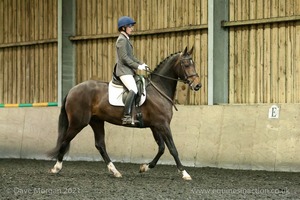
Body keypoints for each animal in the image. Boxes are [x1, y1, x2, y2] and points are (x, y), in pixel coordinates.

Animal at [47, 46, 202, 180]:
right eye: (186, 64)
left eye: (193, 63)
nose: (197, 85)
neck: (159, 89)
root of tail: (73, 89)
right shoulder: (162, 124)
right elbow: (172, 148)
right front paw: (184, 173)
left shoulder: (155, 126)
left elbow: (162, 148)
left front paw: (144, 167)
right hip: (78, 122)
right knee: (65, 140)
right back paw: (56, 168)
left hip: (96, 121)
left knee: (100, 145)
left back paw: (115, 171)